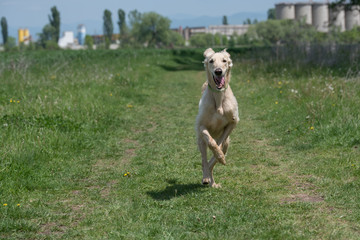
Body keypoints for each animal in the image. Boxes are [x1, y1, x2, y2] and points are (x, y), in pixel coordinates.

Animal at [194, 48, 239, 188]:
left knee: (211, 162)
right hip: (200, 142)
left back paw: (211, 181)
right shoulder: (201, 126)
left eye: (224, 60)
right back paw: (206, 177)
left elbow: (219, 144)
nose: (218, 71)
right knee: (204, 159)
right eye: (211, 61)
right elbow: (211, 142)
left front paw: (220, 157)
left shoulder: (232, 123)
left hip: (227, 144)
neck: (218, 99)